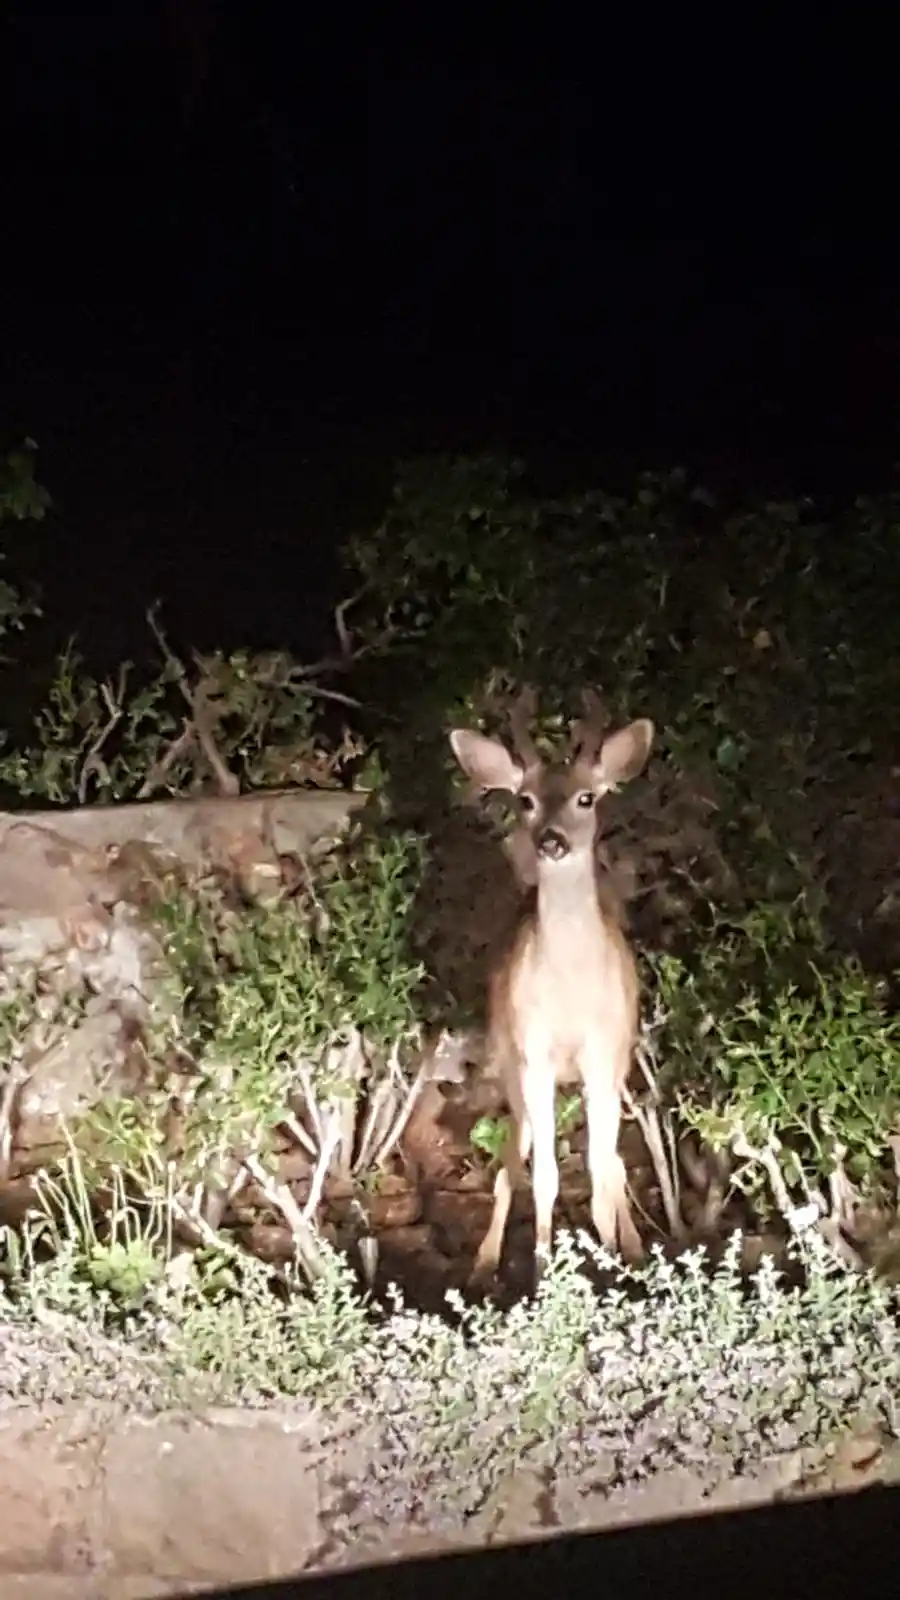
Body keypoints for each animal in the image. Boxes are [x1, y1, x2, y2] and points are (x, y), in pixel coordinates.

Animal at [448, 687, 654, 1290]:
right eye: (525, 800)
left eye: (587, 797)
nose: (552, 841)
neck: (570, 989)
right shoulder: (533, 1053)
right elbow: (543, 1176)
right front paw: (543, 1270)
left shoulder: (605, 1052)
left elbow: (603, 1168)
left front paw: (614, 1259)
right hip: (508, 1062)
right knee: (510, 1164)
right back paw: (485, 1262)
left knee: (612, 1163)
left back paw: (633, 1248)